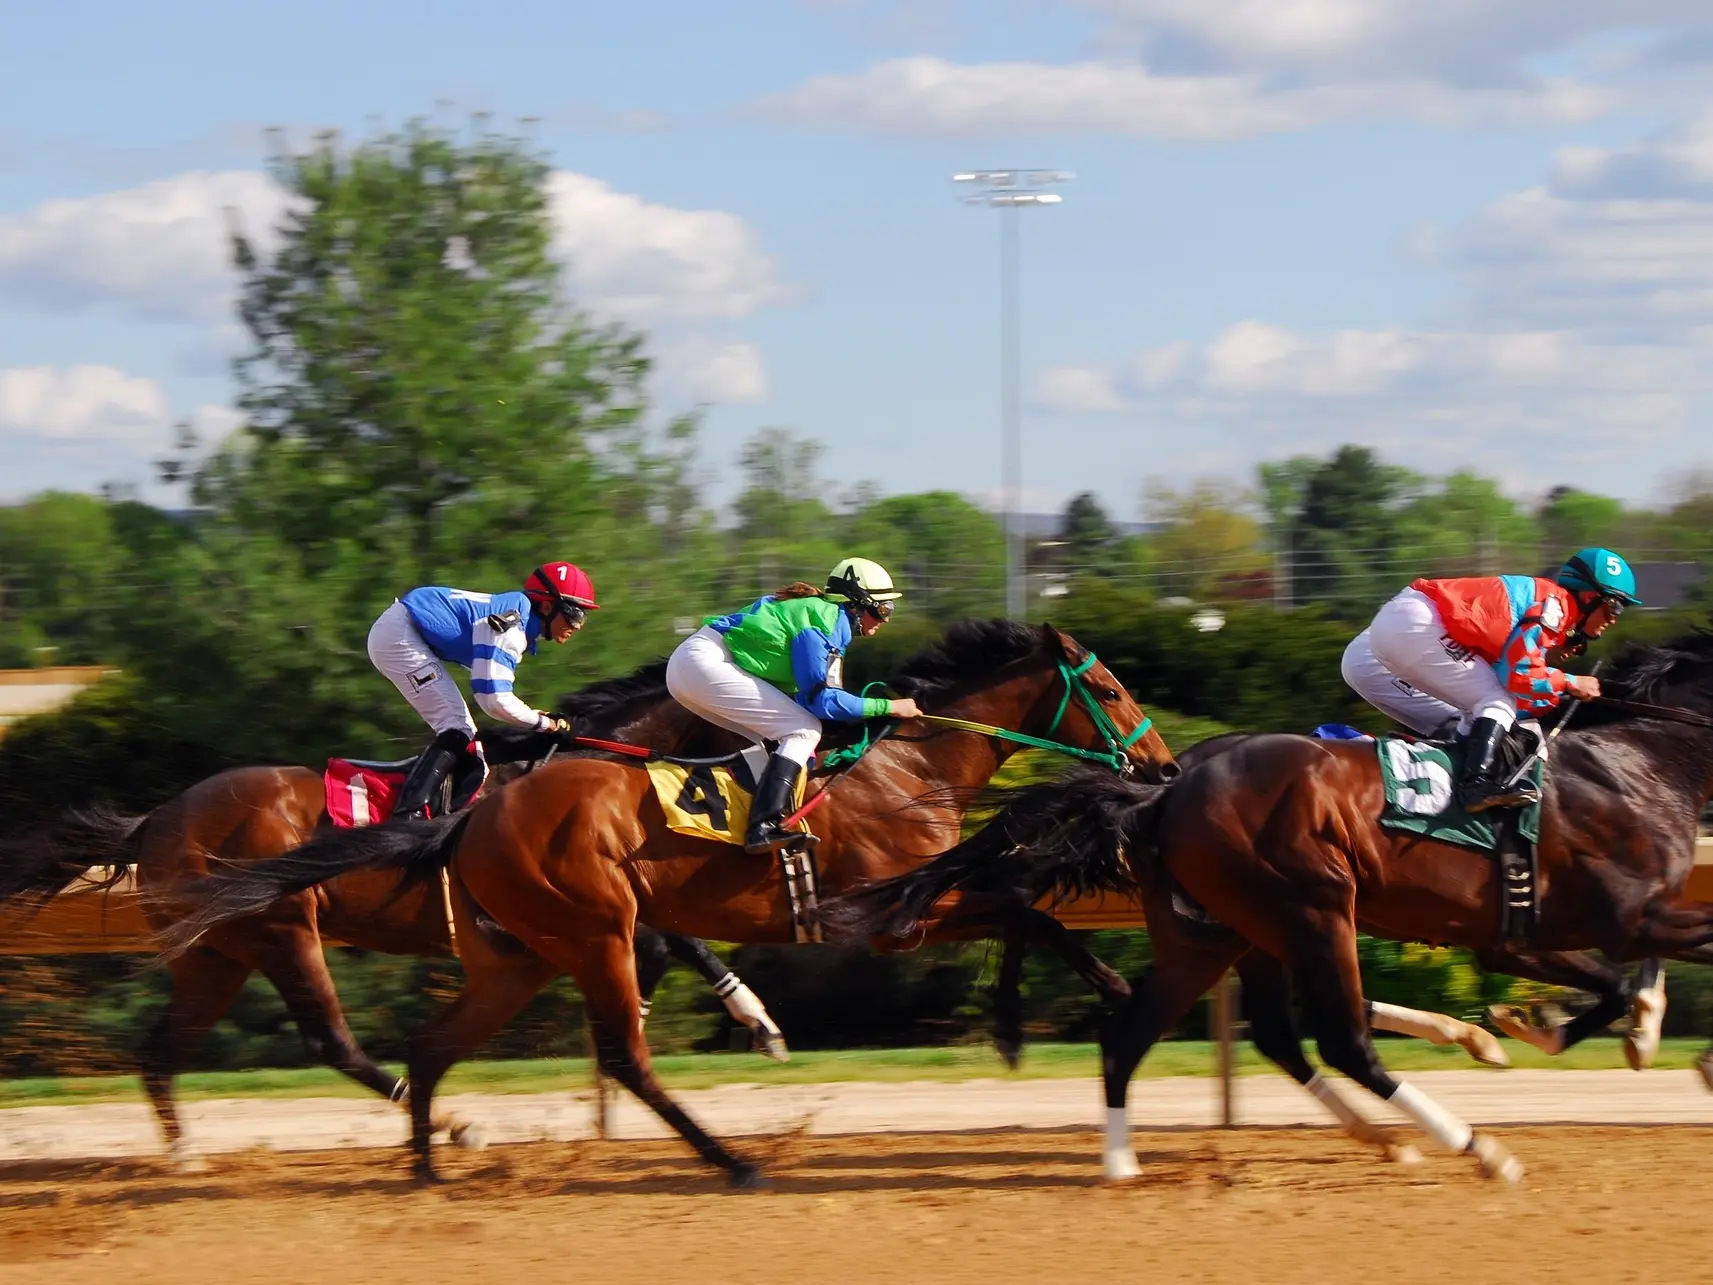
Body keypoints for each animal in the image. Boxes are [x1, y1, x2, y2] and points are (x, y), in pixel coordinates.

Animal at [0, 664, 785, 1170]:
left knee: (161, 1051)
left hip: (214, 956)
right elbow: (664, 941)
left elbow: (683, 940)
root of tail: (156, 821)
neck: (570, 766)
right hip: (283, 931)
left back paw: (186, 1152)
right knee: (328, 1040)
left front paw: (755, 1018)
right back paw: (453, 1124)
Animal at [156, 620, 1177, 1185]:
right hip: (562, 930)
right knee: (618, 1056)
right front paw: (1056, 1011)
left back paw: (427, 1160)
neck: (911, 767)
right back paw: (733, 1162)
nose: (1164, 767)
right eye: (1111, 686)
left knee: (423, 1045)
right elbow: (1020, 907)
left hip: (502, 954)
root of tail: (468, 821)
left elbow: (1022, 905)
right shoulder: (894, 915)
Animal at [830, 631, 1713, 1184]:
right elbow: (1665, 958)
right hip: (1309, 907)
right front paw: (1638, 1039)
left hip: (1216, 935)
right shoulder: (1615, 913)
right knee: (1339, 1038)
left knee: (1159, 1034)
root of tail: (1165, 793)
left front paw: (1551, 1025)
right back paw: (1474, 1148)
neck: (1631, 761)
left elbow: (1615, 983)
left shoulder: (1532, 931)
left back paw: (1125, 1162)